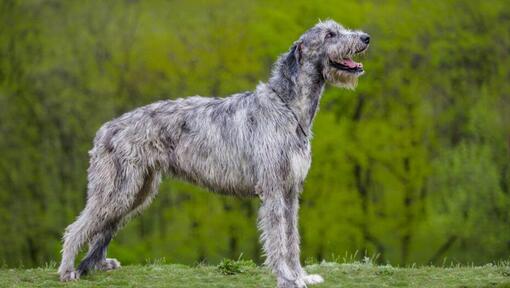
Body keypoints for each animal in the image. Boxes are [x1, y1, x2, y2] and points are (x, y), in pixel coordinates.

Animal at [58, 19, 370, 286]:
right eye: (329, 34)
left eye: (339, 28)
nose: (366, 37)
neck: (288, 108)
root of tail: (105, 129)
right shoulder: (272, 188)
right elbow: (277, 239)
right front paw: (286, 278)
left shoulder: (291, 189)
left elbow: (292, 237)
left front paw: (300, 275)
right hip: (118, 188)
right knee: (77, 227)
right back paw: (67, 271)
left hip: (138, 191)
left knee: (103, 227)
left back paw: (97, 264)